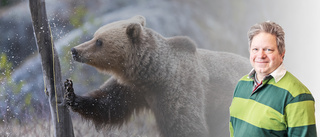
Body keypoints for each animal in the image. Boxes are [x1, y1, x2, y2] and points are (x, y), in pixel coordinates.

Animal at [63, 15, 251, 137]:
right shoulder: (132, 88)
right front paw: (70, 93)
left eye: (99, 41)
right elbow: (108, 104)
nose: (75, 50)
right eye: (95, 36)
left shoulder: (179, 90)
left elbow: (186, 126)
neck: (155, 75)